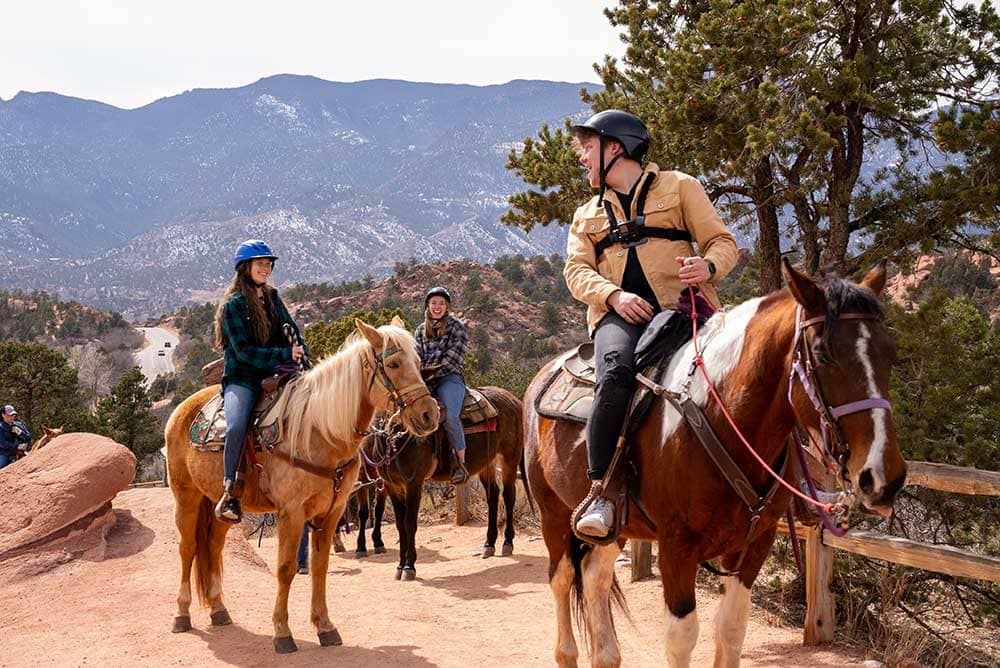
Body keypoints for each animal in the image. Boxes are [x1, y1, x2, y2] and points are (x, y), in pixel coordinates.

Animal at [164, 318, 438, 652]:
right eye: (394, 363)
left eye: (419, 363)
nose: (429, 414)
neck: (320, 429)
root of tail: (182, 409)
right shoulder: (291, 513)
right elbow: (286, 568)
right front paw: (282, 632)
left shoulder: (330, 513)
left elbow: (320, 568)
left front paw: (325, 626)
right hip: (186, 497)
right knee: (188, 548)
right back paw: (181, 615)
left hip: (220, 505)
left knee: (213, 547)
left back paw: (219, 610)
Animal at [362, 386, 532, 580]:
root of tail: (514, 400)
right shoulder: (392, 487)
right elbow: (400, 525)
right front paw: (400, 565)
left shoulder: (413, 484)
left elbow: (409, 523)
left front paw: (409, 567)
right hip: (487, 463)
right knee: (493, 497)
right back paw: (489, 544)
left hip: (509, 459)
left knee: (509, 497)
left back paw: (507, 542)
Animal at [528, 262, 912, 668]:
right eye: (823, 354)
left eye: (890, 354)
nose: (883, 477)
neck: (720, 414)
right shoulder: (677, 545)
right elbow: (681, 638)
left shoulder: (754, 544)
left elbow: (731, 629)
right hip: (554, 513)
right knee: (562, 579)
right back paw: (568, 650)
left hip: (616, 528)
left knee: (594, 576)